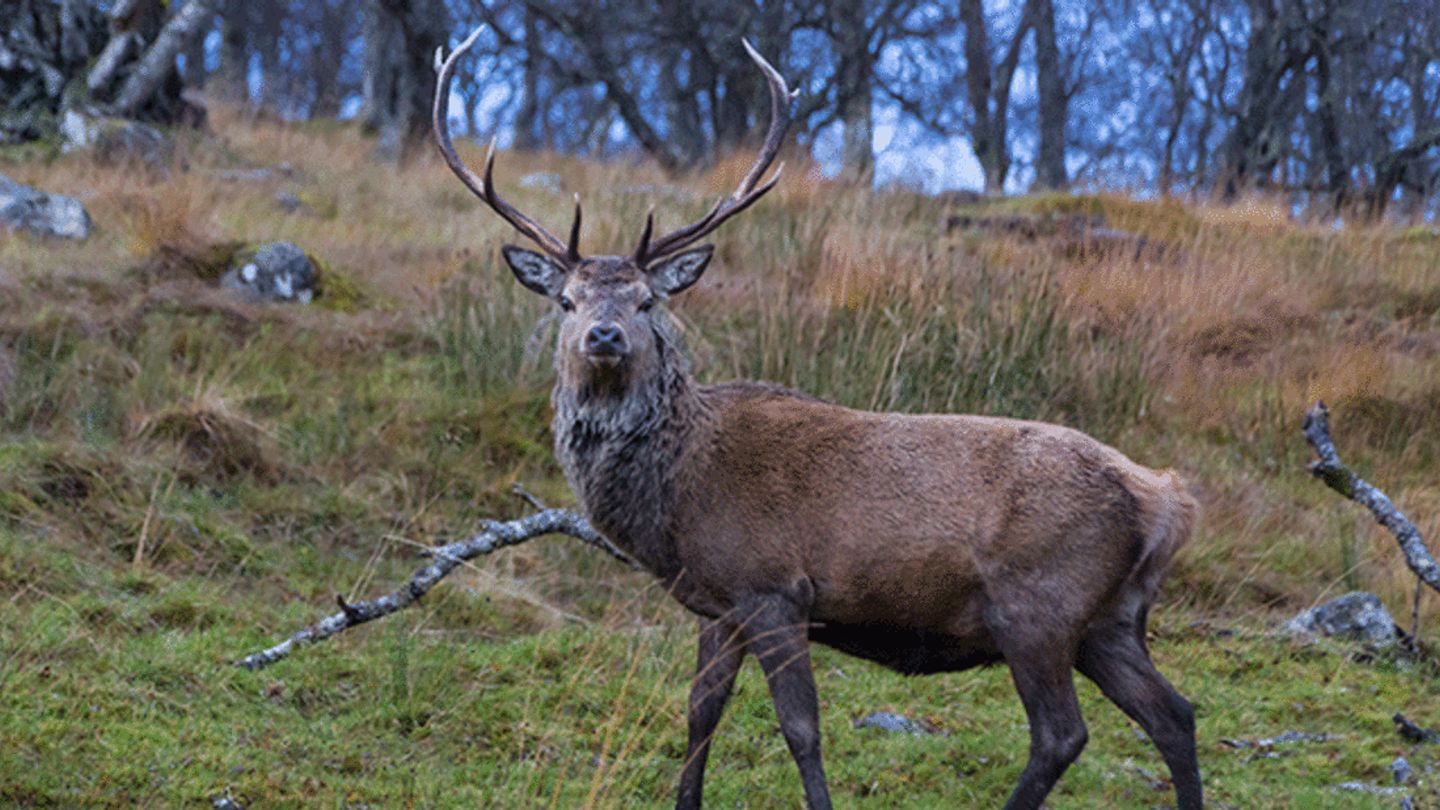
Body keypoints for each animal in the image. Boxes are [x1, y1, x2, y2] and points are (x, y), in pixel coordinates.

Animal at [433, 27, 1202, 810]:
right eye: (567, 300)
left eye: (649, 300)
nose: (605, 336)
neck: (676, 492)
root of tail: (1167, 500)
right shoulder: (719, 604)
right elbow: (699, 712)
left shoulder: (774, 587)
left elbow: (800, 728)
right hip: (1109, 620)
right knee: (1174, 713)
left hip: (1037, 606)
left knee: (1062, 733)